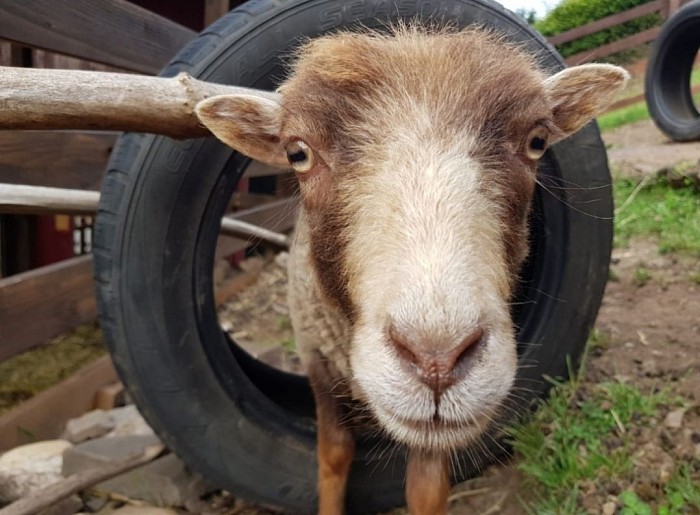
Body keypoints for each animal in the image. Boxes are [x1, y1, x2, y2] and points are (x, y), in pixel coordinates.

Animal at [197, 26, 628, 515]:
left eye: (536, 142)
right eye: (298, 153)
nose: (437, 361)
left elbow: (426, 486)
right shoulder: (315, 357)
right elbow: (333, 455)